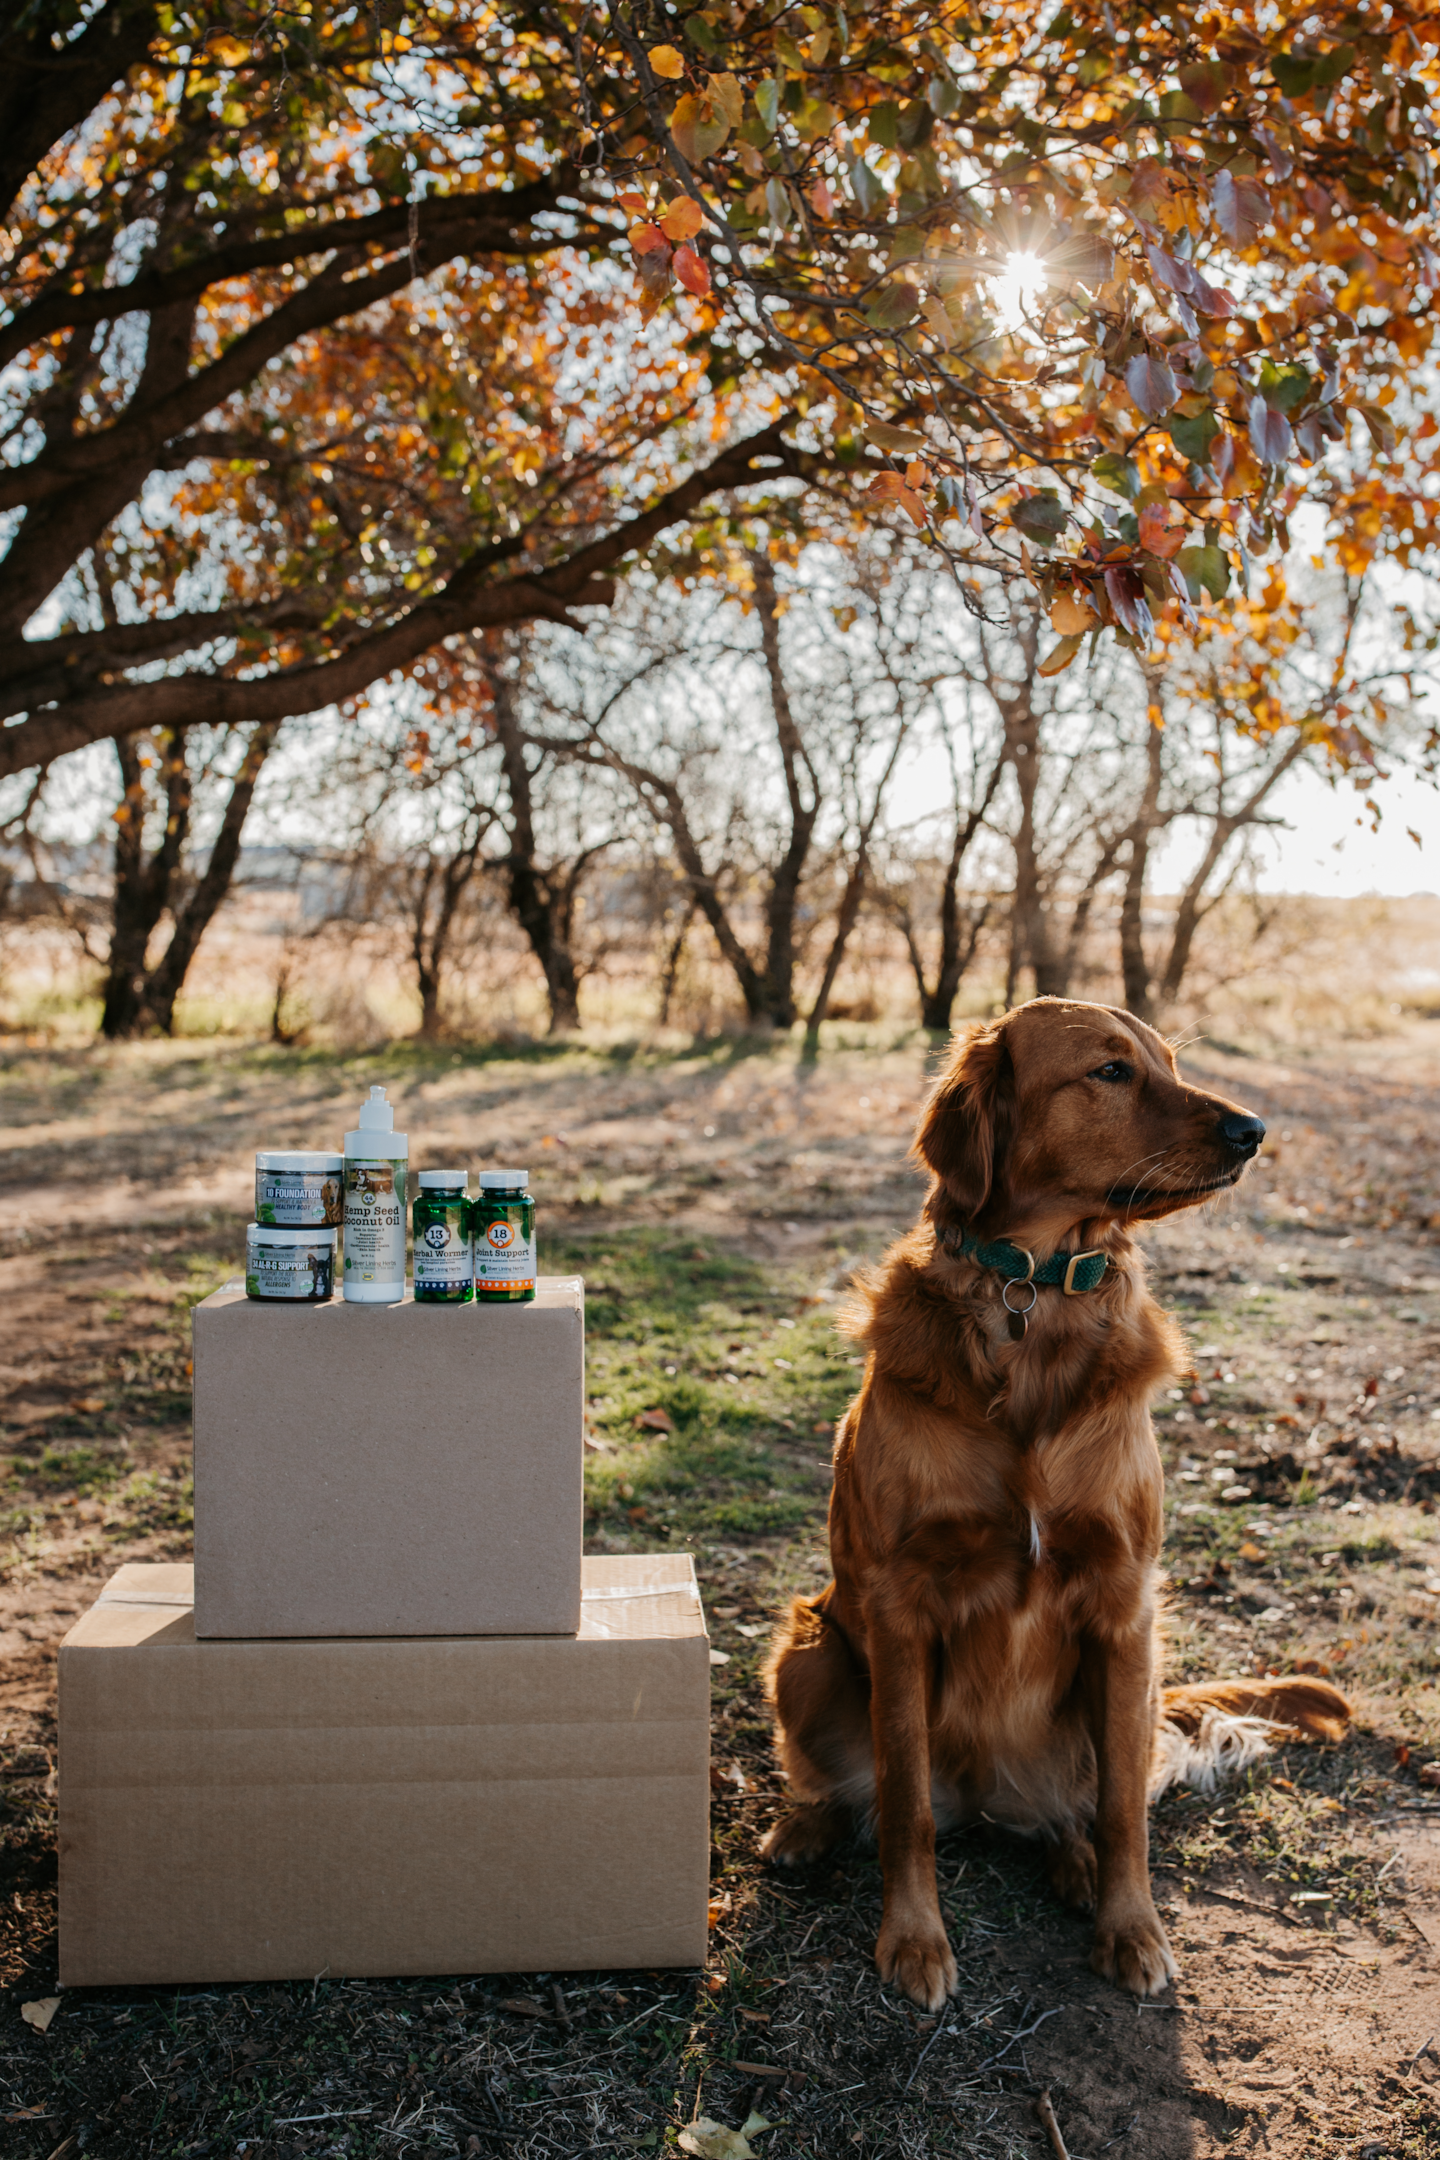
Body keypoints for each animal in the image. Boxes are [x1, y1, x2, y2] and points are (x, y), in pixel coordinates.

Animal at [764, 1002, 1355, 2013]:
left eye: (1168, 1062)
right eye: (1110, 1072)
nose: (1254, 1130)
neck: (1030, 1292)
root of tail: (987, 1801)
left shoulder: (1124, 1604)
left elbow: (1122, 1810)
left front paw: (1132, 1929)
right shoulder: (897, 1605)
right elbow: (904, 1806)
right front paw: (913, 1941)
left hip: (1133, 1685)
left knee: (1085, 1804)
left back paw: (1074, 1861)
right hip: (811, 1650)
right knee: (862, 1789)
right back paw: (807, 1828)